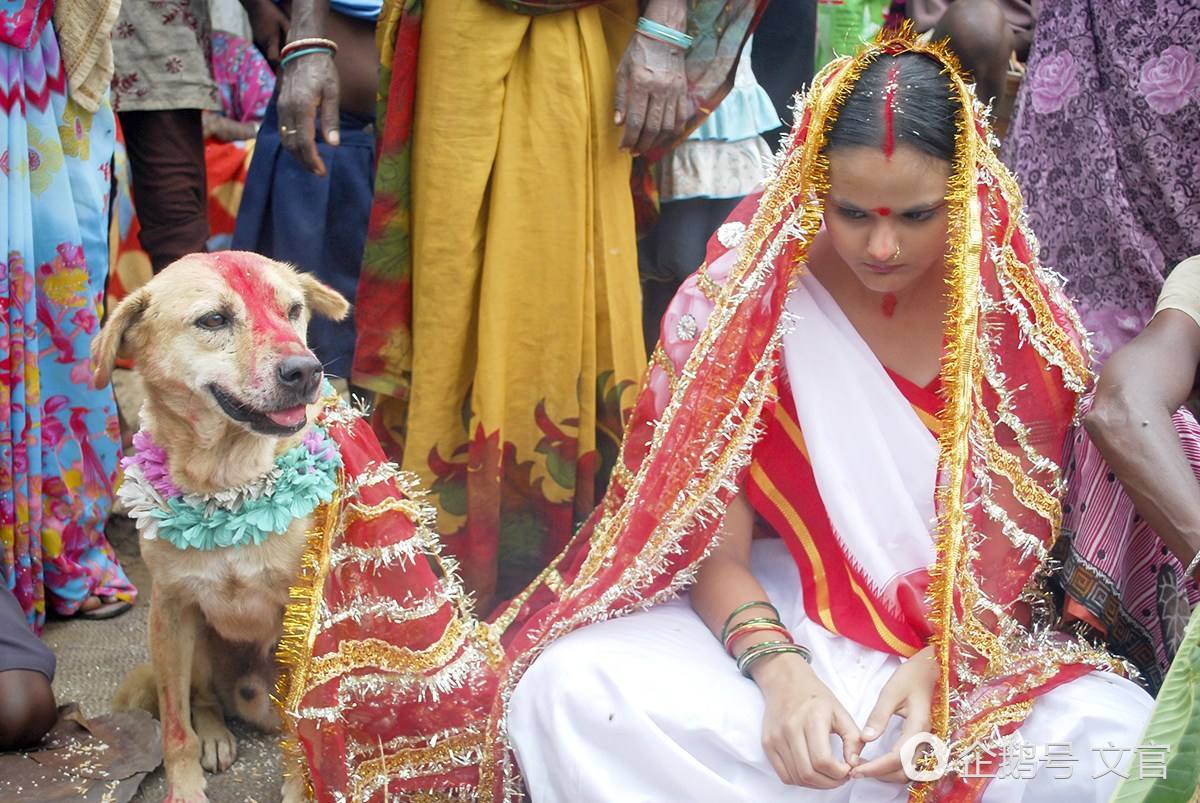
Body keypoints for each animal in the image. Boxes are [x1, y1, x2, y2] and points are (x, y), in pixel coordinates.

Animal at [94, 252, 350, 801]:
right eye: (213, 320)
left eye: (293, 310)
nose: (307, 371)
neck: (228, 488)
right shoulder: (170, 610)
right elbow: (175, 726)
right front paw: (185, 787)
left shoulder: (305, 615)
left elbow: (302, 725)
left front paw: (301, 786)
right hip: (197, 645)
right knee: (203, 702)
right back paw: (213, 734)